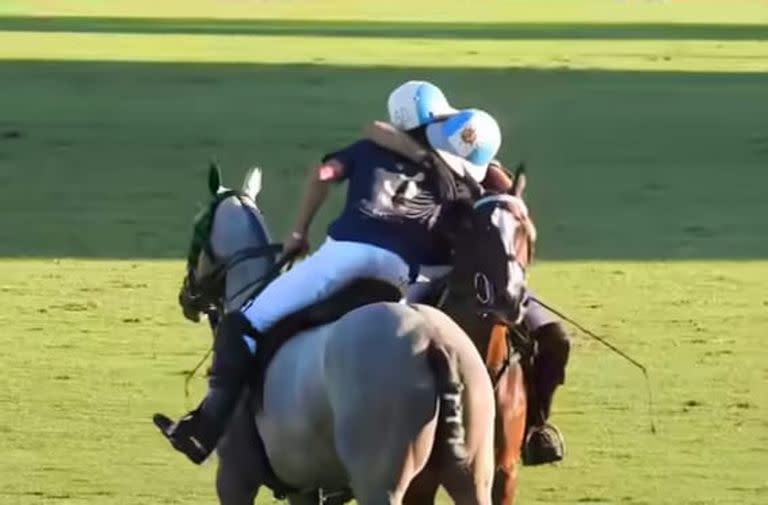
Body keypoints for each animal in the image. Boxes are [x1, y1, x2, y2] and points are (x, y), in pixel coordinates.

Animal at [175, 164, 500, 504]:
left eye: (196, 227)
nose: (186, 297)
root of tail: (436, 342)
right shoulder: (305, 487)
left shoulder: (235, 477)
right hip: (471, 473)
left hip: (378, 482)